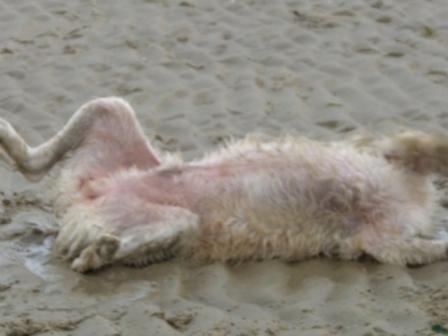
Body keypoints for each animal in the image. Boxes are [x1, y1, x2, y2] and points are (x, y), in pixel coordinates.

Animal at [0, 96, 446, 270]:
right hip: (115, 130)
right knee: (37, 164)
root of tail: (89, 196)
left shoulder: (381, 239)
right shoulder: (391, 165)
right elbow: (416, 145)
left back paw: (98, 253)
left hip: (159, 210)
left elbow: (409, 247)